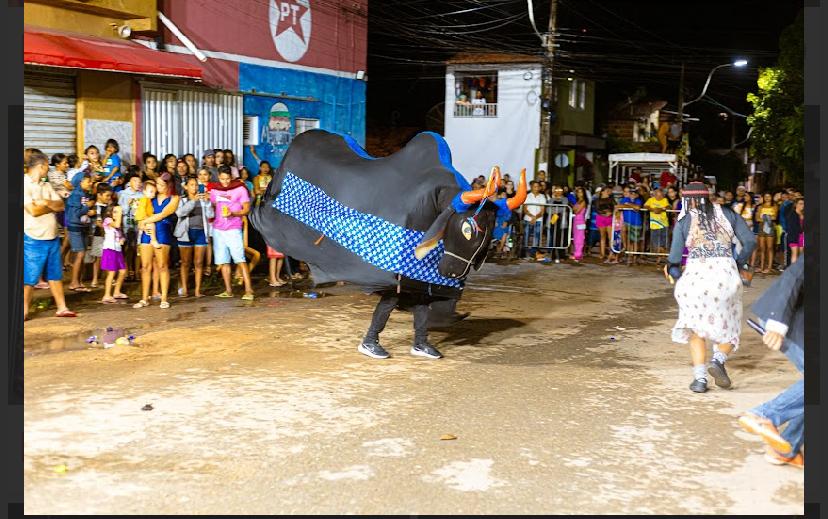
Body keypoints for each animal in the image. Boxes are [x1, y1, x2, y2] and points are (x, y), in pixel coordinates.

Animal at [249, 129, 527, 358]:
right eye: (467, 228)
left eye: (490, 233)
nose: (453, 273)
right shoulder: (397, 273)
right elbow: (385, 308)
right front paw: (372, 345)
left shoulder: (422, 279)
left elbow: (424, 309)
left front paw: (425, 342)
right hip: (271, 207)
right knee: (261, 215)